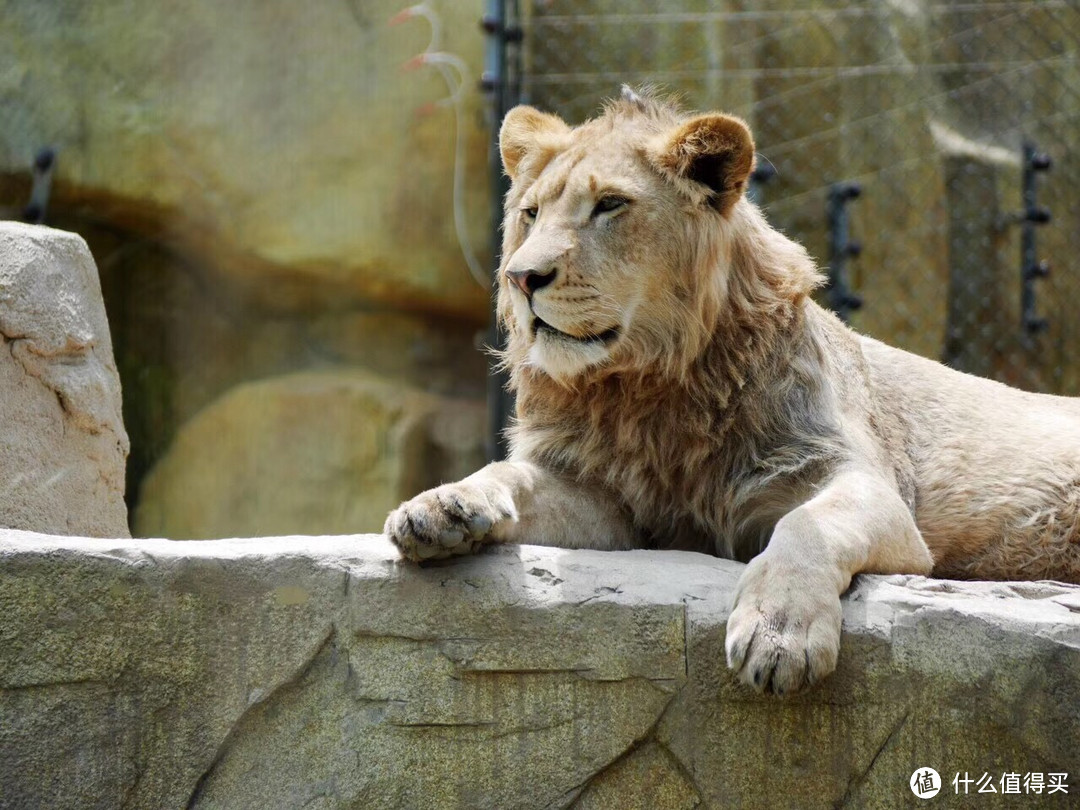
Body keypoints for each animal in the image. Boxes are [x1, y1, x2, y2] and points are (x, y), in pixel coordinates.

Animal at [384, 88, 1080, 699]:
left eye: (609, 205)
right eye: (530, 213)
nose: (522, 277)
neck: (646, 387)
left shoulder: (866, 490)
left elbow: (809, 525)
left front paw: (779, 636)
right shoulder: (609, 502)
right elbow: (509, 475)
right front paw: (440, 507)